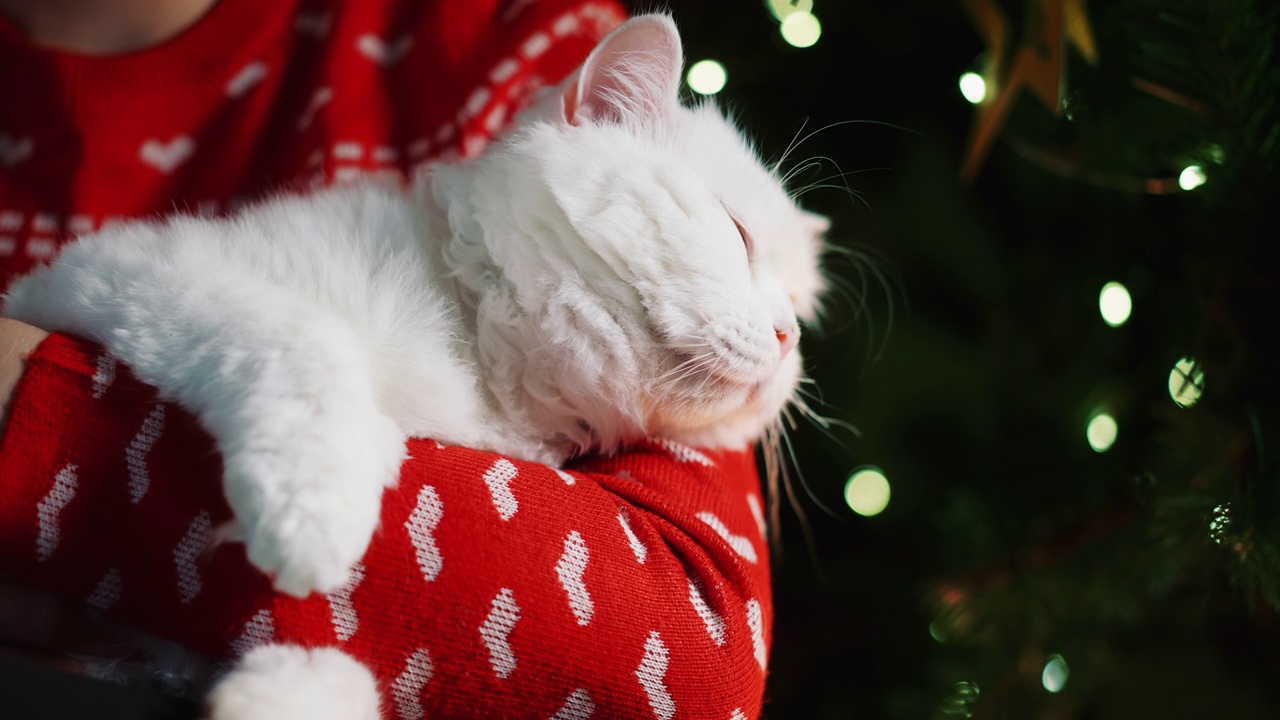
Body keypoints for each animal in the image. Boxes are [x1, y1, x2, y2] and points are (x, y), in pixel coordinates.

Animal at [2, 12, 829, 717]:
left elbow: (320, 662)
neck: (477, 346)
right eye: (737, 234)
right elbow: (310, 348)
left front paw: (283, 687)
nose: (789, 336)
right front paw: (315, 514)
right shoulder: (124, 273)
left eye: (798, 300)